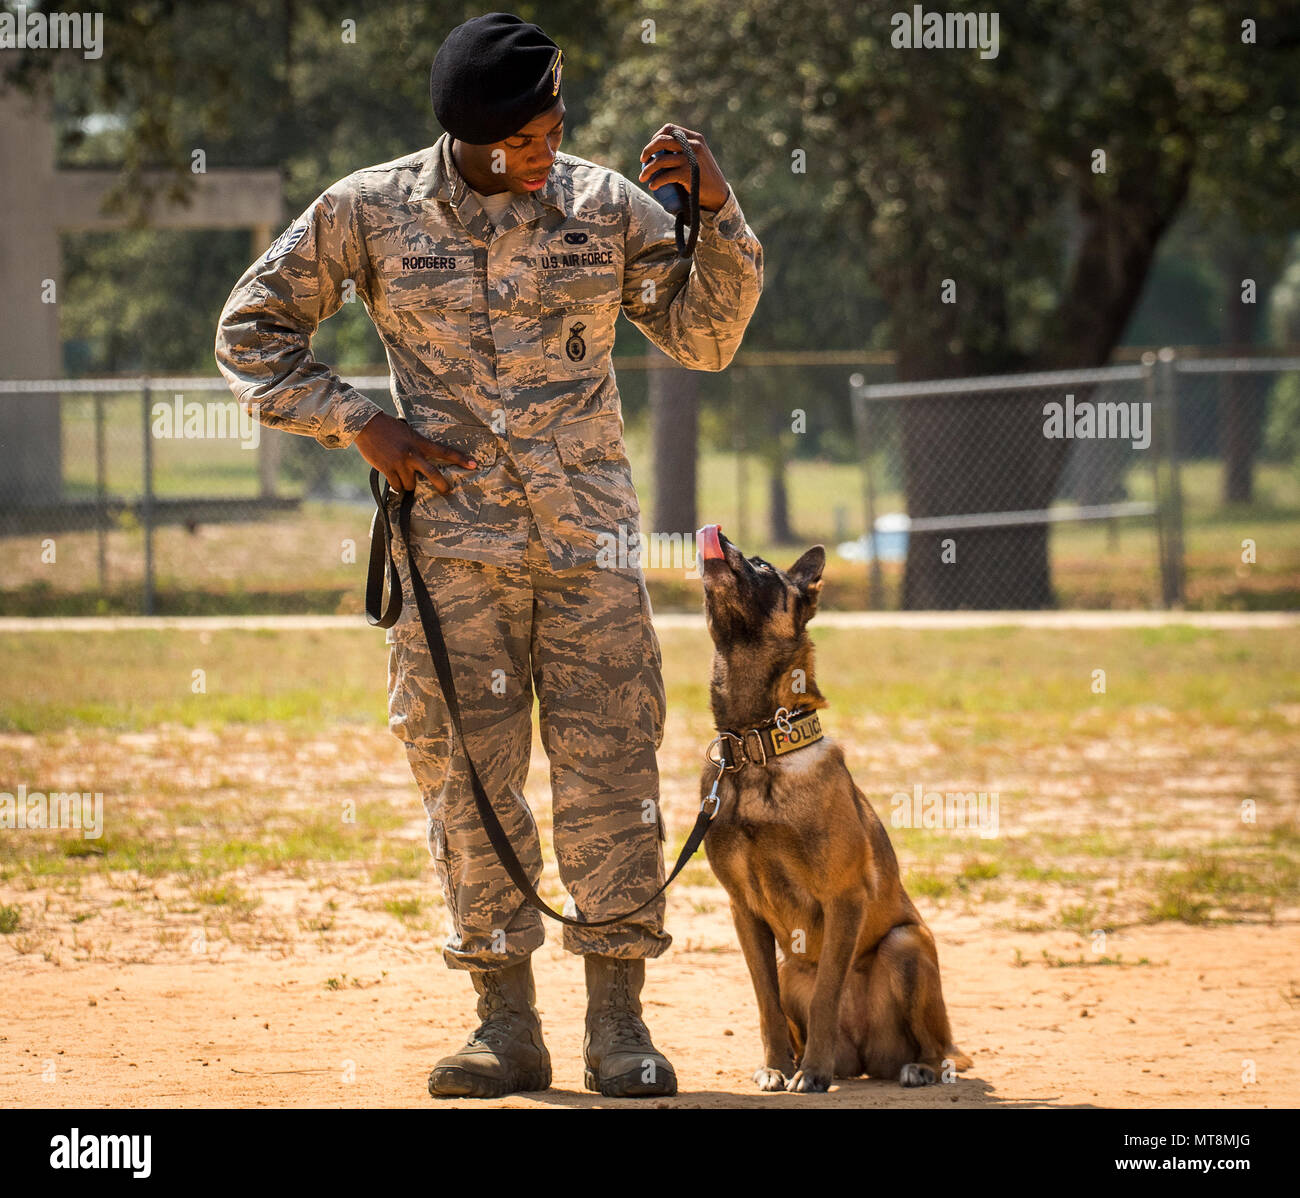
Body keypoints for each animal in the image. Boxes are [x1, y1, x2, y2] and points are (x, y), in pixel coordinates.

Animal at [696, 527, 972, 1086]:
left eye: (761, 565)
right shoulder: (743, 911)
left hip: (907, 945)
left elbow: (827, 993)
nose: (720, 535)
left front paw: (813, 1073)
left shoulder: (845, 899)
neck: (758, 745)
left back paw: (918, 1068)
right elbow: (765, 1003)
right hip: (790, 967)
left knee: (942, 1046)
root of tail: (865, 1058)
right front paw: (776, 1068)